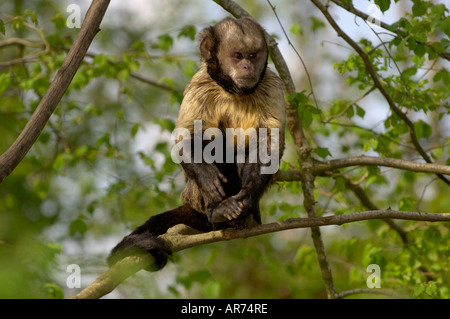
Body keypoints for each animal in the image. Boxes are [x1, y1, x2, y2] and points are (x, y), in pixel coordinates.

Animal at [107, 17, 284, 272]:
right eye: (237, 56)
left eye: (253, 56)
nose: (247, 67)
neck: (234, 92)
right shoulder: (200, 83)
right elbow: (187, 136)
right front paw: (206, 175)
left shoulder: (272, 85)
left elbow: (269, 143)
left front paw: (247, 199)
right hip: (193, 195)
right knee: (211, 139)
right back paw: (217, 210)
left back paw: (244, 215)